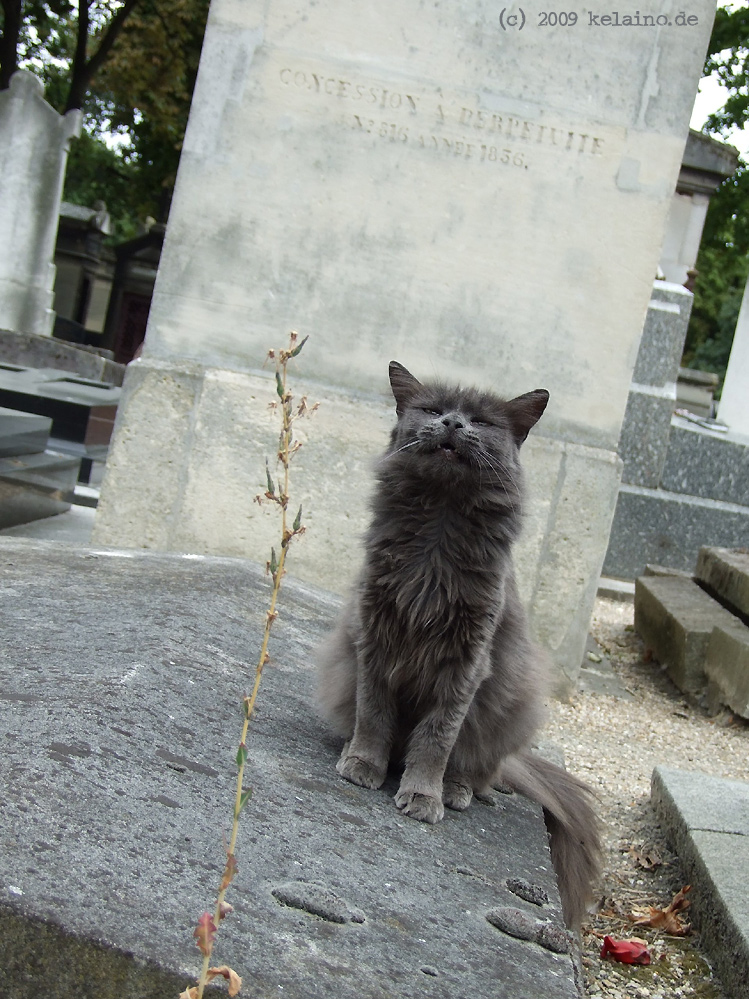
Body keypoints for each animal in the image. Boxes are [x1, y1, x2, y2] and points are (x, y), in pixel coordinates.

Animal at [318, 362, 600, 928]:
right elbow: (373, 714)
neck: (438, 531)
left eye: (481, 421)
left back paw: (454, 790)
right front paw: (363, 765)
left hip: (506, 708)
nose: (452, 423)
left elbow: (435, 739)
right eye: (432, 409)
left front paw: (422, 796)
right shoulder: (375, 638)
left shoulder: (467, 661)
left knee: (474, 767)